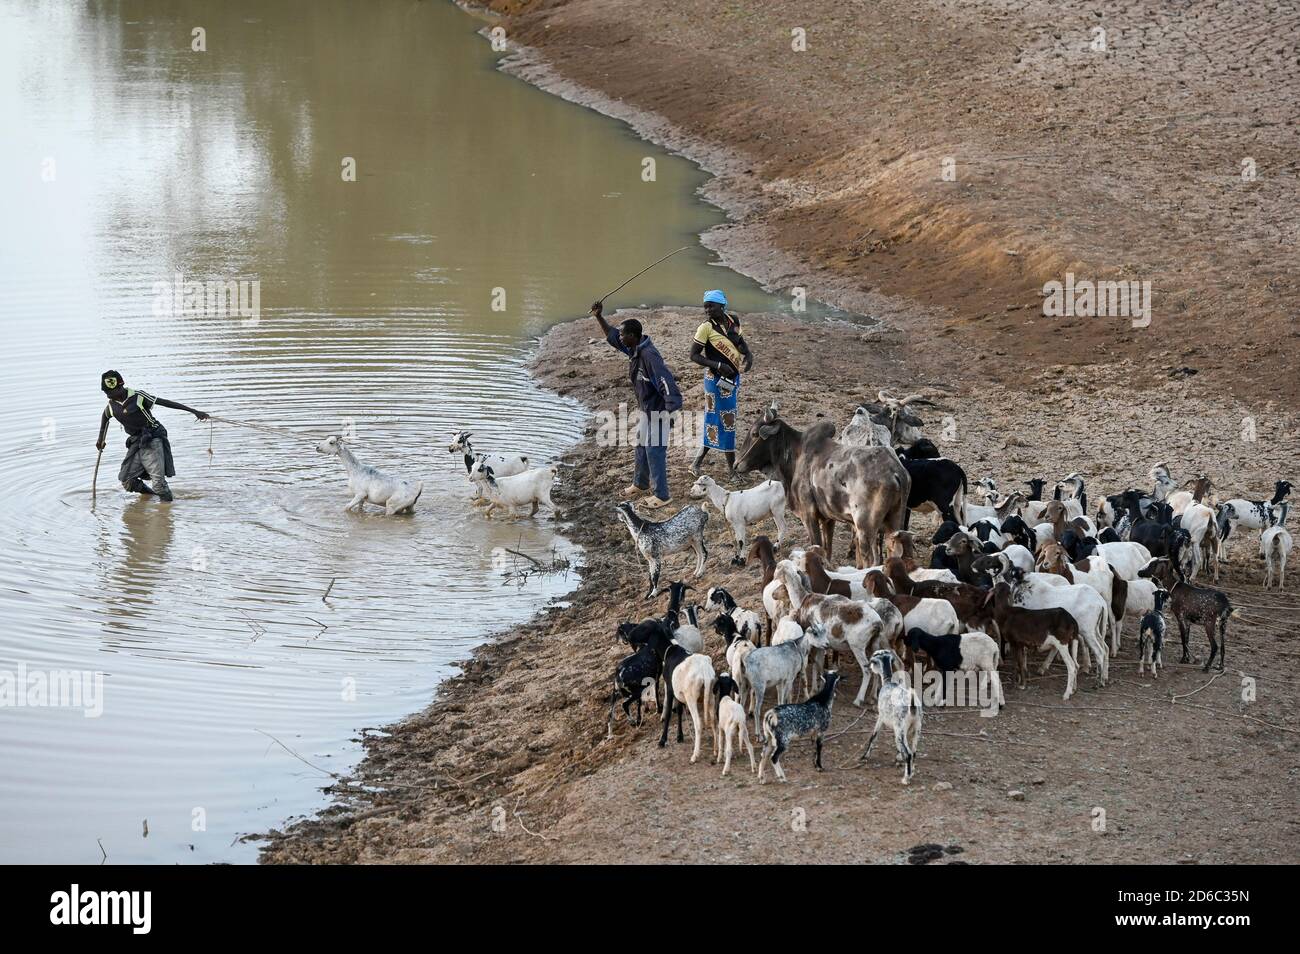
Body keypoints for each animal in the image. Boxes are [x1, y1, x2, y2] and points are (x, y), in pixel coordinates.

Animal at [858, 650, 922, 784]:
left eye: (873, 660)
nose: (867, 666)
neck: (888, 682)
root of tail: (912, 704)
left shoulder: (881, 717)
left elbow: (873, 736)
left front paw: (865, 756)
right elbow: (897, 745)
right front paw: (898, 758)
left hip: (900, 728)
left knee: (909, 753)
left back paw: (905, 778)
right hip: (916, 728)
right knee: (913, 752)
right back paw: (911, 772)